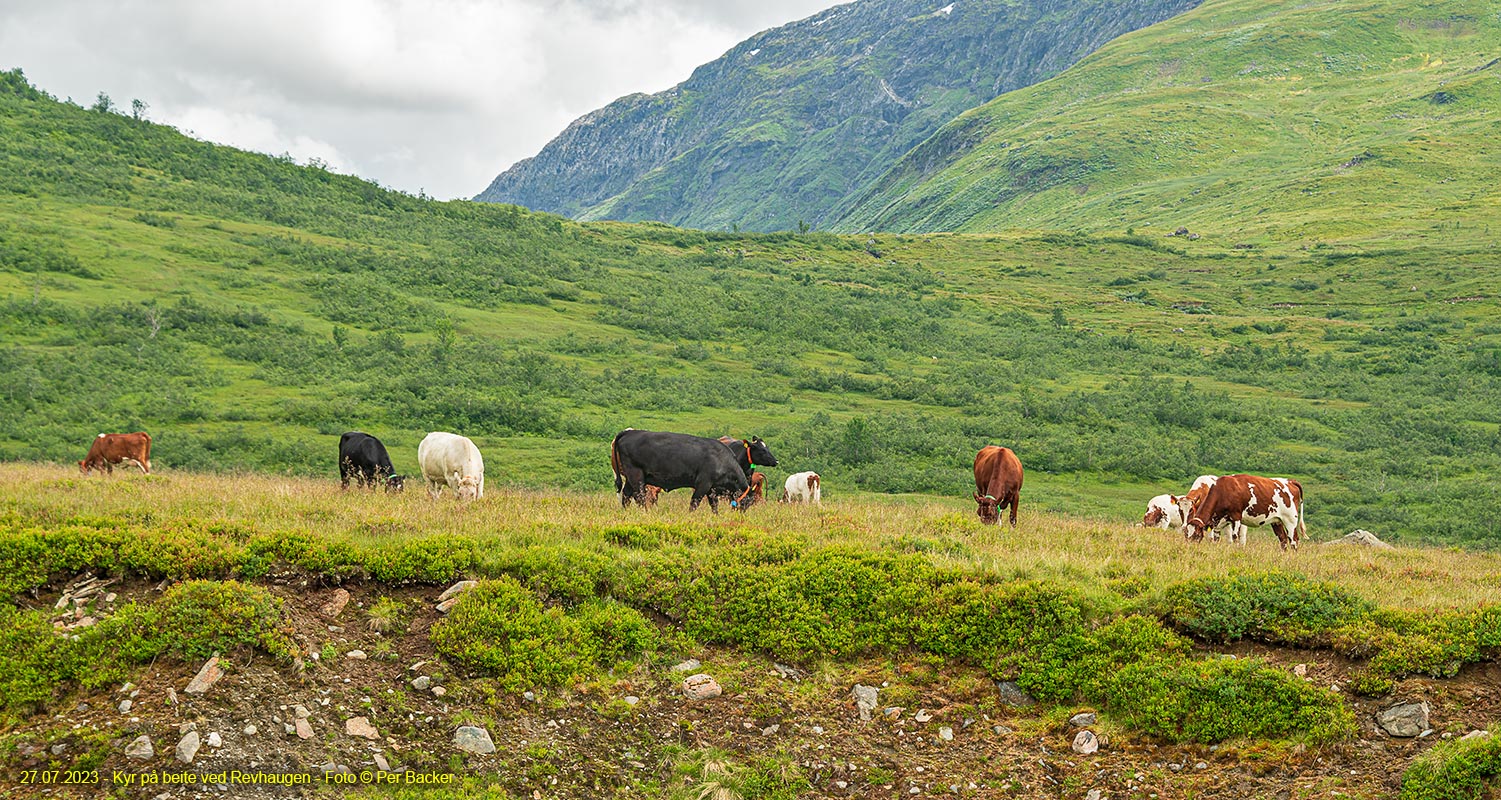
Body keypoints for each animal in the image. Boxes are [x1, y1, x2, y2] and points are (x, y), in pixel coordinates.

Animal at [609, 429, 750, 510]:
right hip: (636, 475)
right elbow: (694, 503)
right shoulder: (703, 484)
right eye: (746, 503)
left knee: (627, 494)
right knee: (639, 496)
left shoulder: (712, 489)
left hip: (630, 477)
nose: (741, 514)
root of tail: (630, 432)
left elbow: (714, 506)